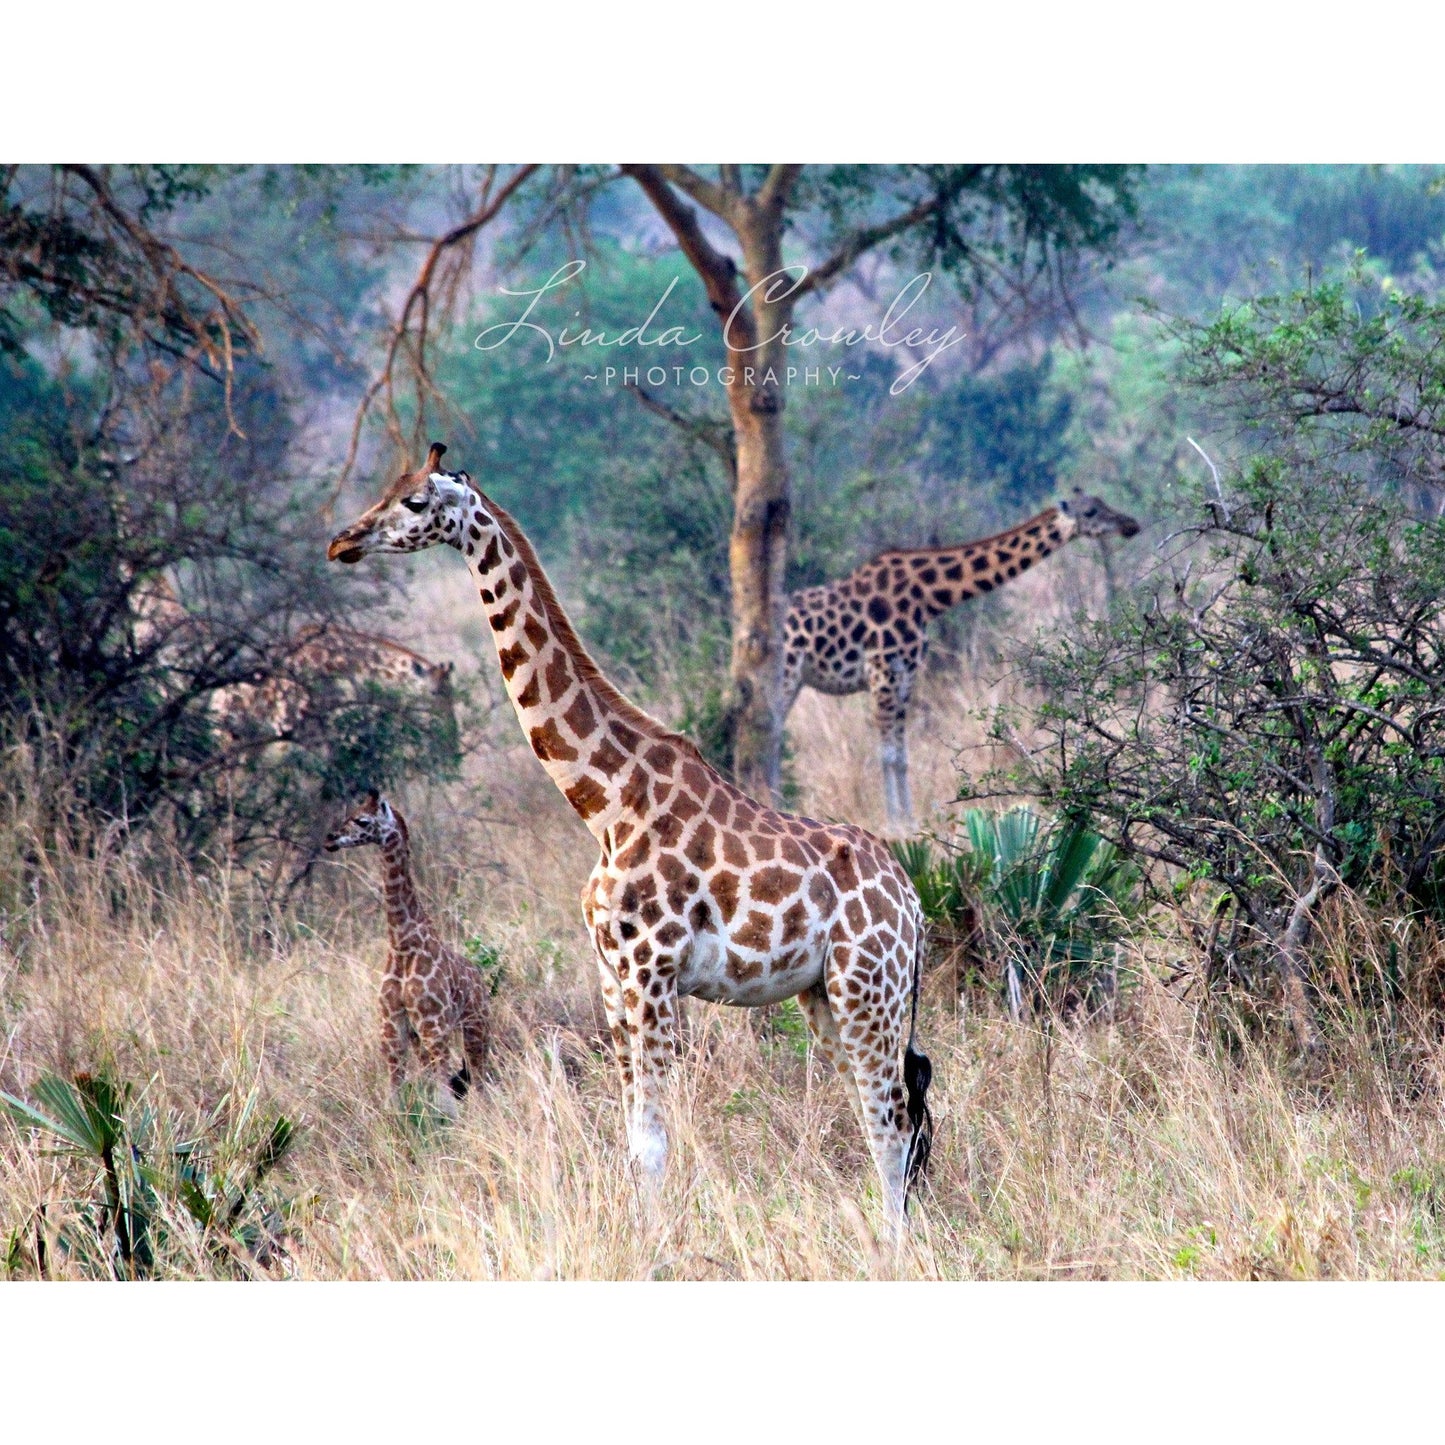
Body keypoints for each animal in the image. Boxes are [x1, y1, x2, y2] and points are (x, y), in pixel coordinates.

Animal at [324, 792, 490, 1117]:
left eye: (363, 821)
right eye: (350, 814)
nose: (331, 838)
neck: (402, 944)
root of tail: (480, 980)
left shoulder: (433, 1024)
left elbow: (444, 1098)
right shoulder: (392, 1026)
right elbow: (395, 1093)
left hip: (474, 1027)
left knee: (479, 1082)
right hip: (423, 1037)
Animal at [781, 490, 1141, 832]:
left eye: (1102, 504)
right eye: (1091, 512)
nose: (1131, 525)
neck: (927, 596)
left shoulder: (906, 673)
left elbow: (902, 754)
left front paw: (910, 821)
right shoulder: (882, 671)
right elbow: (887, 754)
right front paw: (895, 824)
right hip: (785, 676)